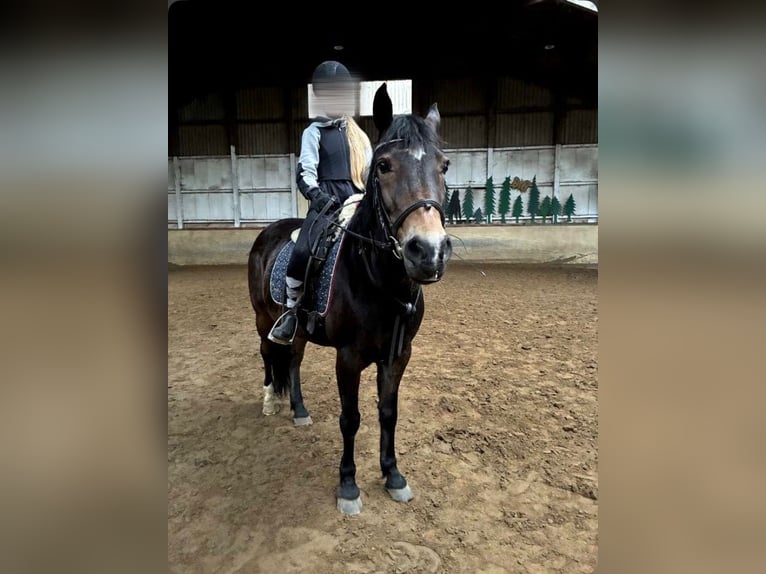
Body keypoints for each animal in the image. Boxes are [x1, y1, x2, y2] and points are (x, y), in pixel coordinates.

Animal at [247, 85, 452, 514]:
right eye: (384, 166)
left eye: (443, 166)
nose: (428, 252)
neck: (378, 280)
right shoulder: (349, 357)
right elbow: (351, 418)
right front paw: (348, 486)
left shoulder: (398, 355)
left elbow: (388, 413)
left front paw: (393, 476)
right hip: (262, 319)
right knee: (267, 354)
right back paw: (271, 401)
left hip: (300, 330)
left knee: (293, 360)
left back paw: (299, 410)